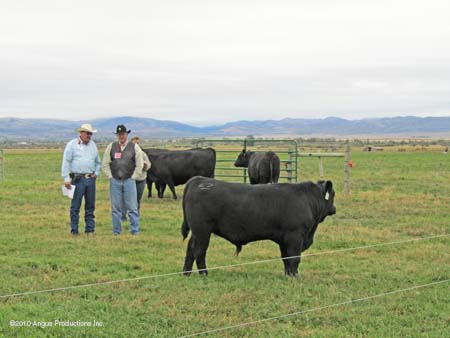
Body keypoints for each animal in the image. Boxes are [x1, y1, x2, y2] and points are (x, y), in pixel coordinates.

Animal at [181, 177, 336, 278]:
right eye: (333, 194)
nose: (334, 209)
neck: (307, 199)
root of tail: (199, 180)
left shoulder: (284, 239)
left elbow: (286, 258)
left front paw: (288, 275)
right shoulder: (295, 236)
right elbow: (294, 258)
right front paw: (294, 276)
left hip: (197, 232)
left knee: (190, 249)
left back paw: (186, 273)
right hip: (202, 231)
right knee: (199, 251)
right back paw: (204, 274)